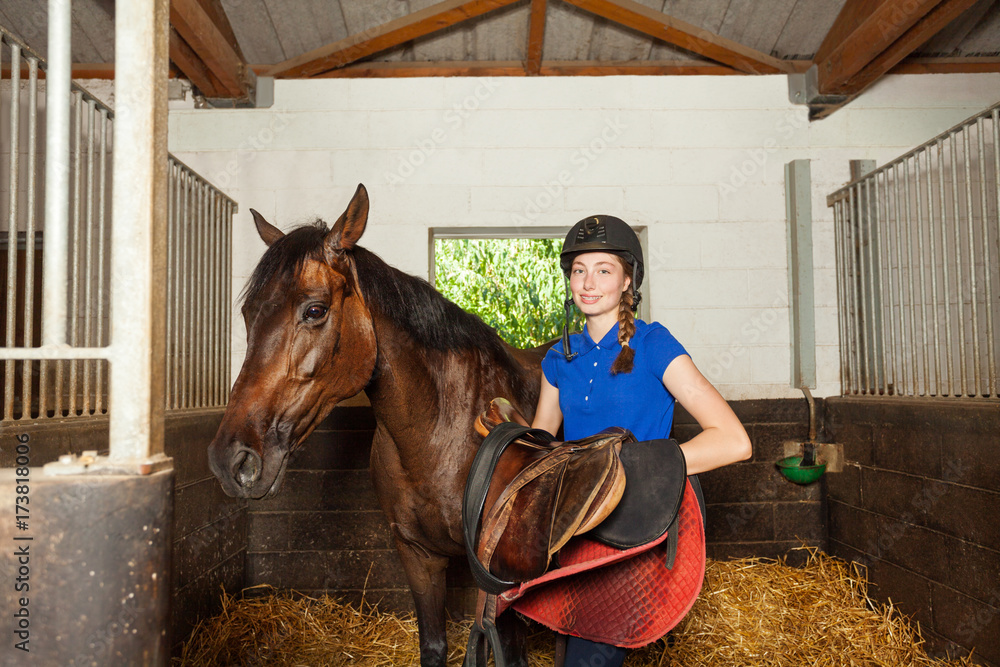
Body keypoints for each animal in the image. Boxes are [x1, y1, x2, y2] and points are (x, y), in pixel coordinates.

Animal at [209, 184, 548, 667]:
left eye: (315, 310)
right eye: (247, 314)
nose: (231, 460)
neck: (443, 436)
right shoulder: (417, 556)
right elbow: (433, 646)